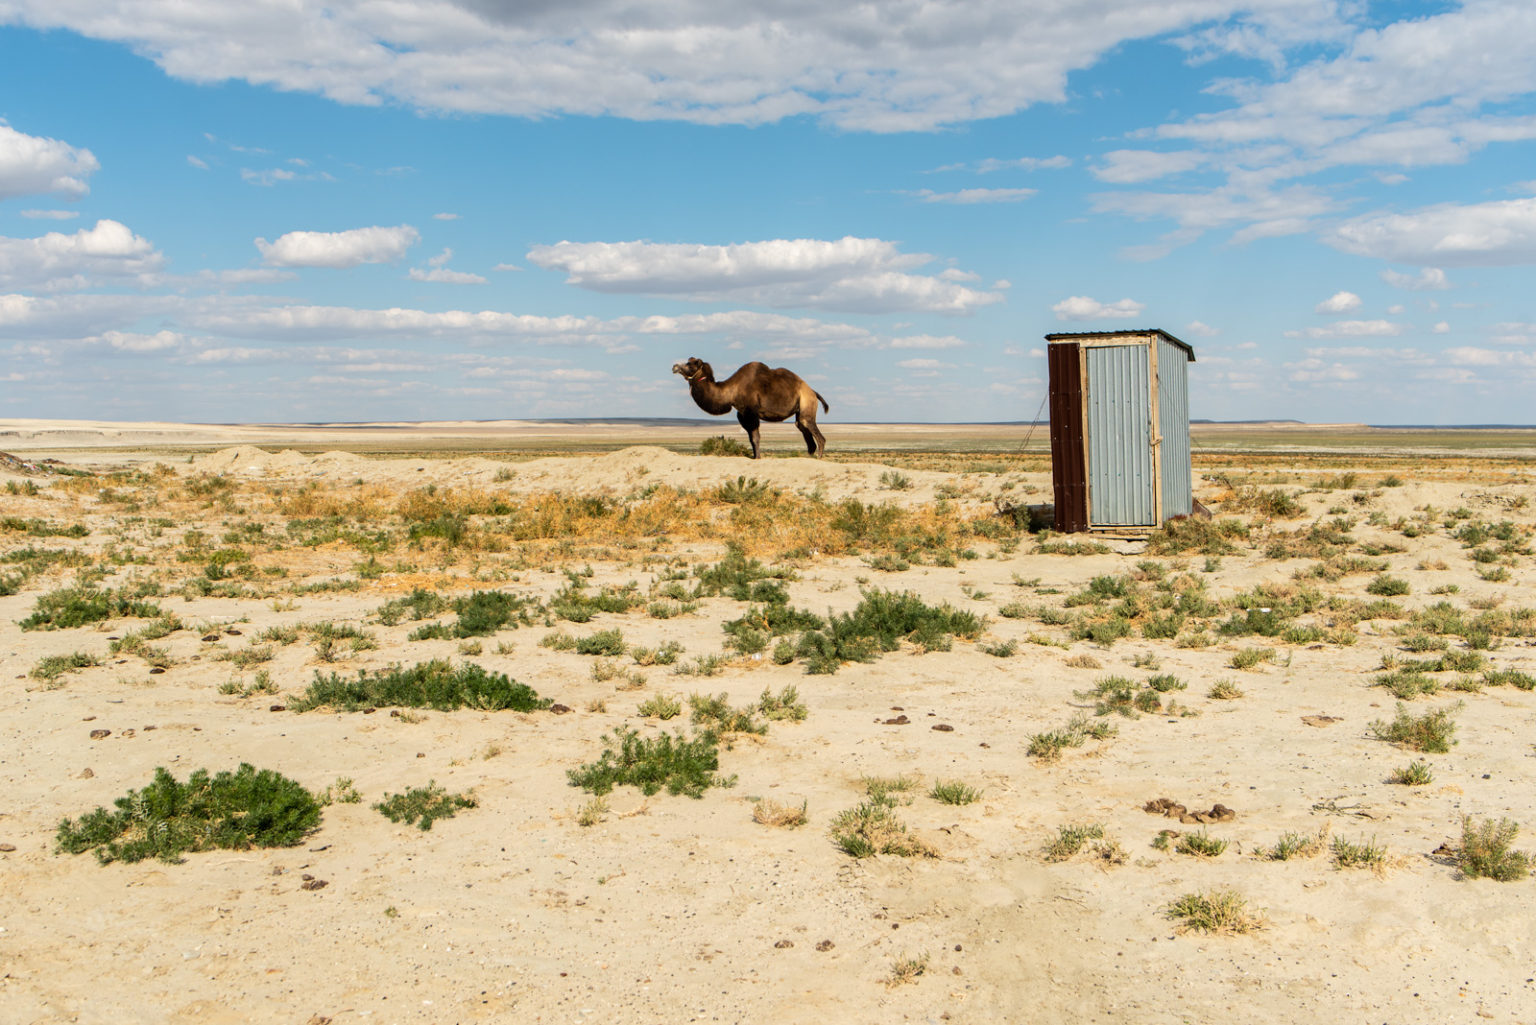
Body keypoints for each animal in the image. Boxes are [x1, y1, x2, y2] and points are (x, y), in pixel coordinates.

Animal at [672, 359, 829, 457]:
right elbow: (751, 439)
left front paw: (757, 457)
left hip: (807, 404)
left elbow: (755, 438)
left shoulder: (751, 412)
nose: (675, 366)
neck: (731, 390)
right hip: (800, 411)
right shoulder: (742, 414)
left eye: (690, 365)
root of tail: (813, 392)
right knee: (804, 432)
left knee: (817, 435)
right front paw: (755, 456)